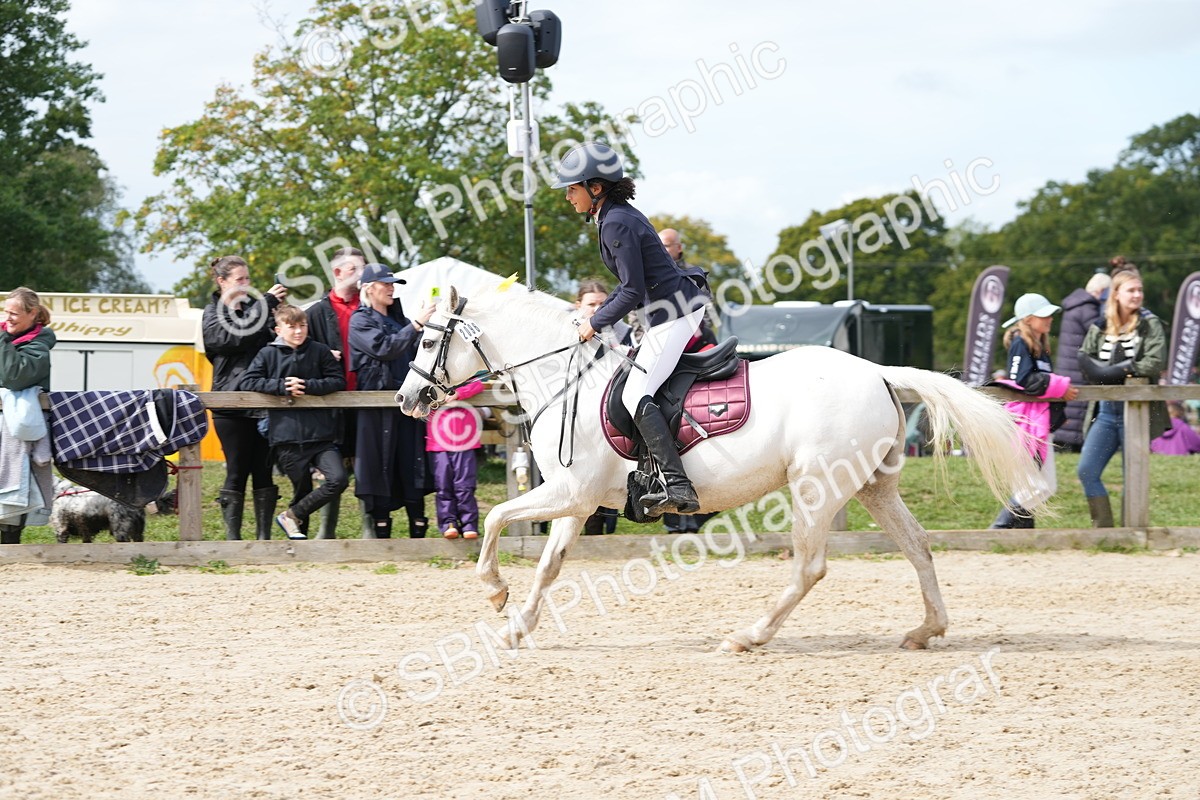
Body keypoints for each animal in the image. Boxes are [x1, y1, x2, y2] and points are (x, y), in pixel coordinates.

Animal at [396, 286, 1043, 653]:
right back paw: (926, 630)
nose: (406, 399)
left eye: (427, 342)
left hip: (817, 488)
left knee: (809, 567)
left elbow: (496, 517)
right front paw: (517, 626)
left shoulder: (570, 493)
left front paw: (494, 592)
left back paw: (749, 636)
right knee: (918, 546)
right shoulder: (575, 501)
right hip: (871, 486)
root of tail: (879, 372)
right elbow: (549, 565)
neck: (564, 378)